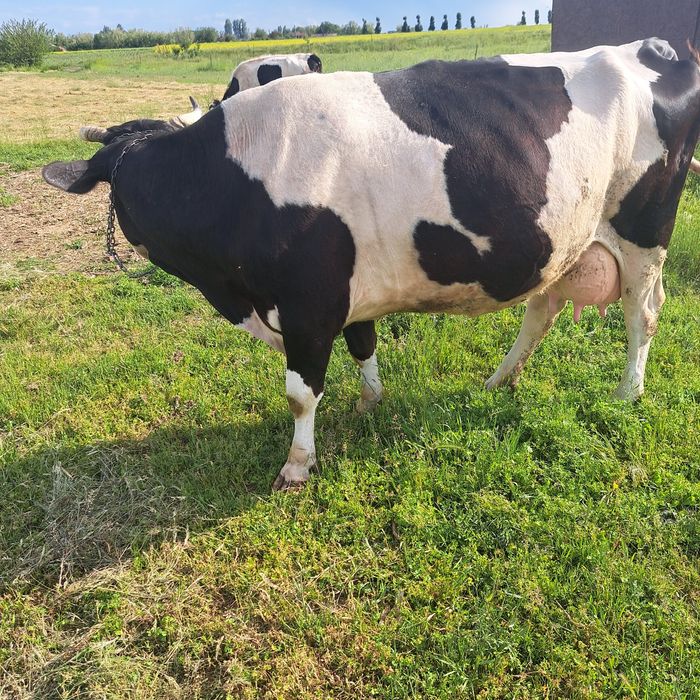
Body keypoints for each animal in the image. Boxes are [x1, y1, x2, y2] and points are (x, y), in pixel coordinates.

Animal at [43, 39, 700, 490]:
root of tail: (652, 47)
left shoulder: (308, 304)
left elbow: (300, 393)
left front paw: (297, 466)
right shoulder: (349, 291)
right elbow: (364, 344)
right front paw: (370, 402)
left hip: (644, 237)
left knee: (642, 317)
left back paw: (627, 392)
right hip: (564, 241)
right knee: (541, 310)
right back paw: (498, 380)